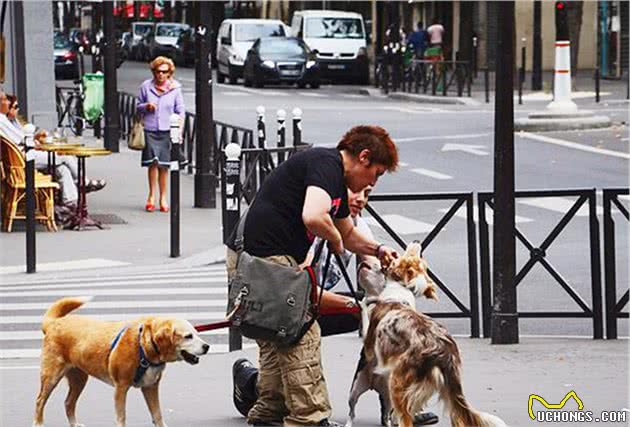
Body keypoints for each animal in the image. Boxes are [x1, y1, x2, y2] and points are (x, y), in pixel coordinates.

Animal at [32, 298, 210, 427]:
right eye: (188, 336)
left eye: (196, 334)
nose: (207, 346)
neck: (143, 347)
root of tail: (54, 323)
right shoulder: (121, 388)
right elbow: (121, 417)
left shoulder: (150, 387)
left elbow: (158, 415)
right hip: (51, 376)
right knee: (40, 401)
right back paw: (39, 423)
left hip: (79, 378)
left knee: (68, 402)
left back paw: (74, 424)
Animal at [348, 244, 506, 427]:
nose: (416, 244)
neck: (400, 290)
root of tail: (444, 352)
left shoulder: (368, 343)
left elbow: (365, 311)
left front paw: (362, 302)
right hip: (447, 396)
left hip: (395, 385)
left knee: (399, 418)